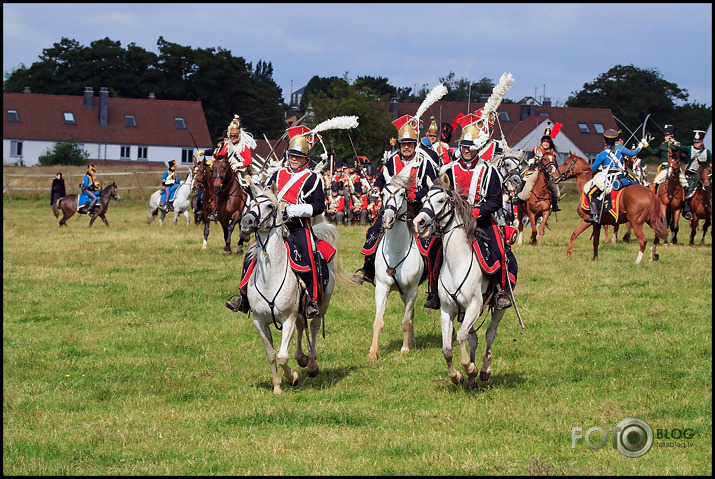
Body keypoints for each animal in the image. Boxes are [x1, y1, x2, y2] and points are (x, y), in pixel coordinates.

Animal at [239, 183, 352, 394]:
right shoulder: (259, 321)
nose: (246, 221)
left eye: (269, 206)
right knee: (302, 327)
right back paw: (302, 359)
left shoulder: (288, 317)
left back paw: (312, 364)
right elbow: (271, 355)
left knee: (313, 327)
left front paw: (292, 378)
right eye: (251, 202)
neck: (270, 278)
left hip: (322, 303)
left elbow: (283, 356)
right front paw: (277, 386)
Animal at [370, 171, 426, 362]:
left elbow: (405, 321)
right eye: (383, 193)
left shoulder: (412, 290)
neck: (396, 251)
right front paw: (373, 352)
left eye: (402, 194)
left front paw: (404, 348)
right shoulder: (382, 287)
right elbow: (378, 321)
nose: (387, 220)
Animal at [414, 179, 510, 390]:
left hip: (498, 308)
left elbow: (460, 337)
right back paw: (471, 380)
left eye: (441, 200)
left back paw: (483, 370)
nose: (419, 222)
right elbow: (447, 348)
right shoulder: (447, 310)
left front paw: (470, 368)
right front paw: (457, 375)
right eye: (424, 199)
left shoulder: (474, 306)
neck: (457, 263)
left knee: (490, 334)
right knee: (473, 338)